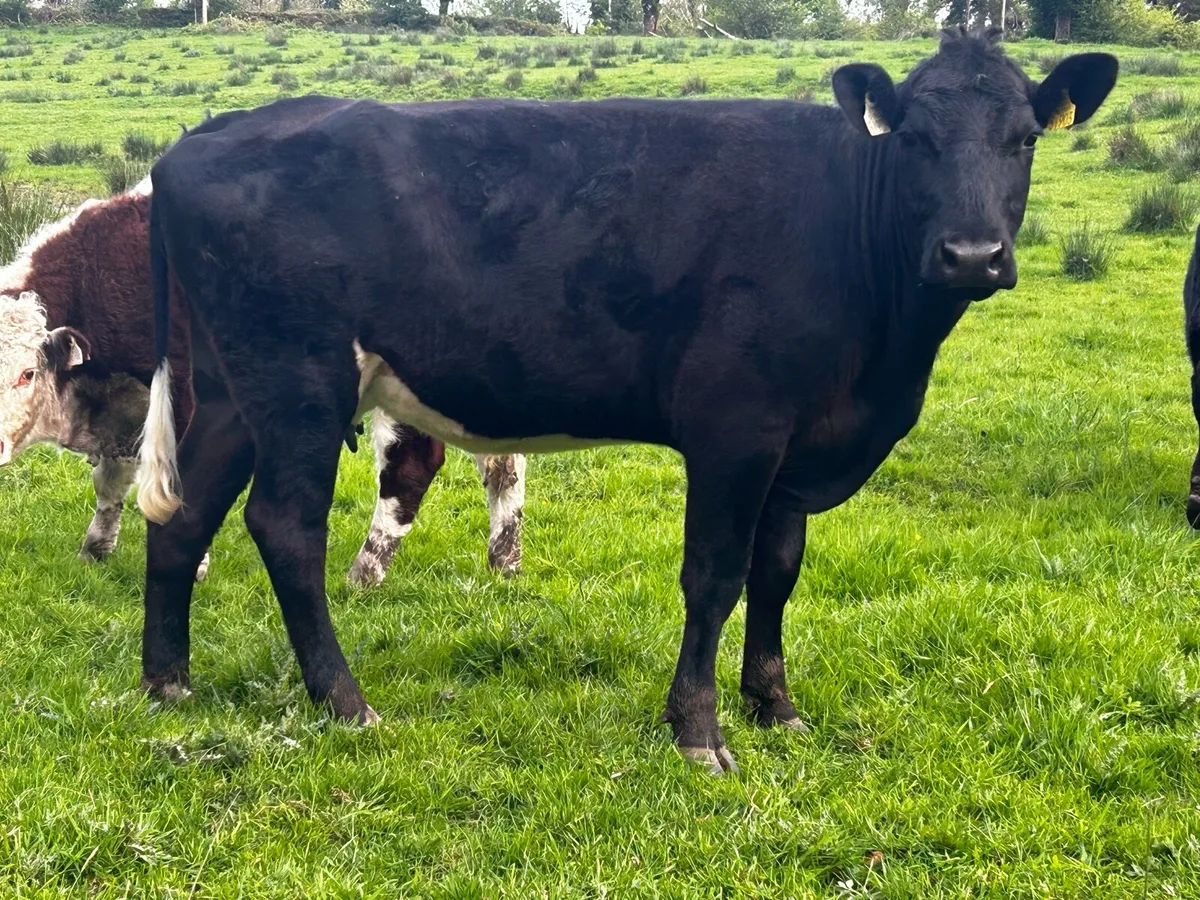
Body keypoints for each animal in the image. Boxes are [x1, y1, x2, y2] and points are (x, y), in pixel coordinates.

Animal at [0, 183, 525, 584]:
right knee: (504, 465)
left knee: (410, 467)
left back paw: (365, 572)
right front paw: (96, 548)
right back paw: (505, 560)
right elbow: (110, 485)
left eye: (27, 373)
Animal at [136, 28, 1116, 773]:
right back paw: (346, 702)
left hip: (232, 391)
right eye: (913, 139)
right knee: (285, 528)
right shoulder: (736, 428)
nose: (972, 254)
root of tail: (197, 139)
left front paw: (776, 707)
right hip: (297, 380)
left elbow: (779, 571)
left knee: (185, 518)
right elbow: (714, 576)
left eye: (1025, 139)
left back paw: (166, 681)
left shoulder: (796, 447)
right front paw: (699, 732)